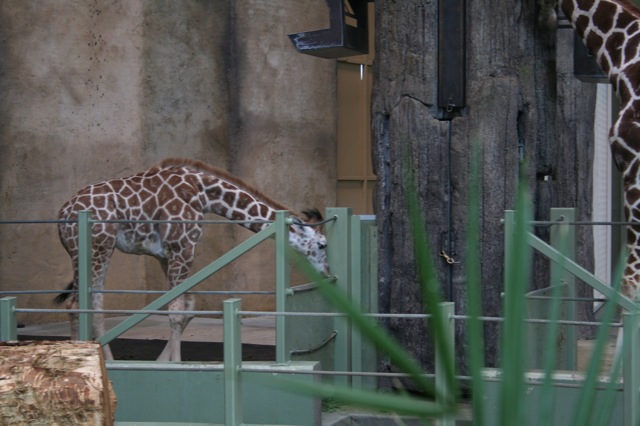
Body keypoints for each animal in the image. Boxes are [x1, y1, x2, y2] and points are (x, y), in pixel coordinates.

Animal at [55, 158, 331, 361]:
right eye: (322, 244)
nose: (328, 274)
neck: (204, 194)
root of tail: (62, 214)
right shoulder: (182, 247)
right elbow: (176, 310)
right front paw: (176, 365)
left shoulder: (166, 253)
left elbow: (188, 305)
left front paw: (162, 362)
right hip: (95, 248)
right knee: (75, 303)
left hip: (100, 249)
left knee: (94, 304)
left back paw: (107, 362)